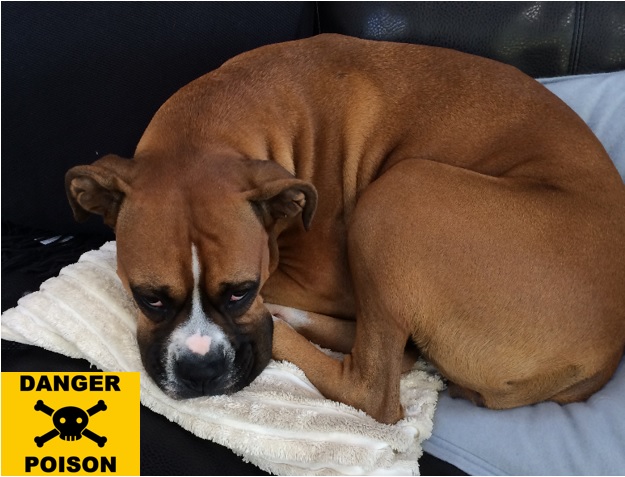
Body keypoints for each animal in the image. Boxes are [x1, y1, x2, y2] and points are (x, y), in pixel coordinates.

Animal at [67, 34, 624, 424]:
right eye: (150, 298)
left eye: (241, 291)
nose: (201, 371)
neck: (213, 122)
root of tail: (606, 356)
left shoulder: (321, 280)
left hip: (399, 195)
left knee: (373, 388)